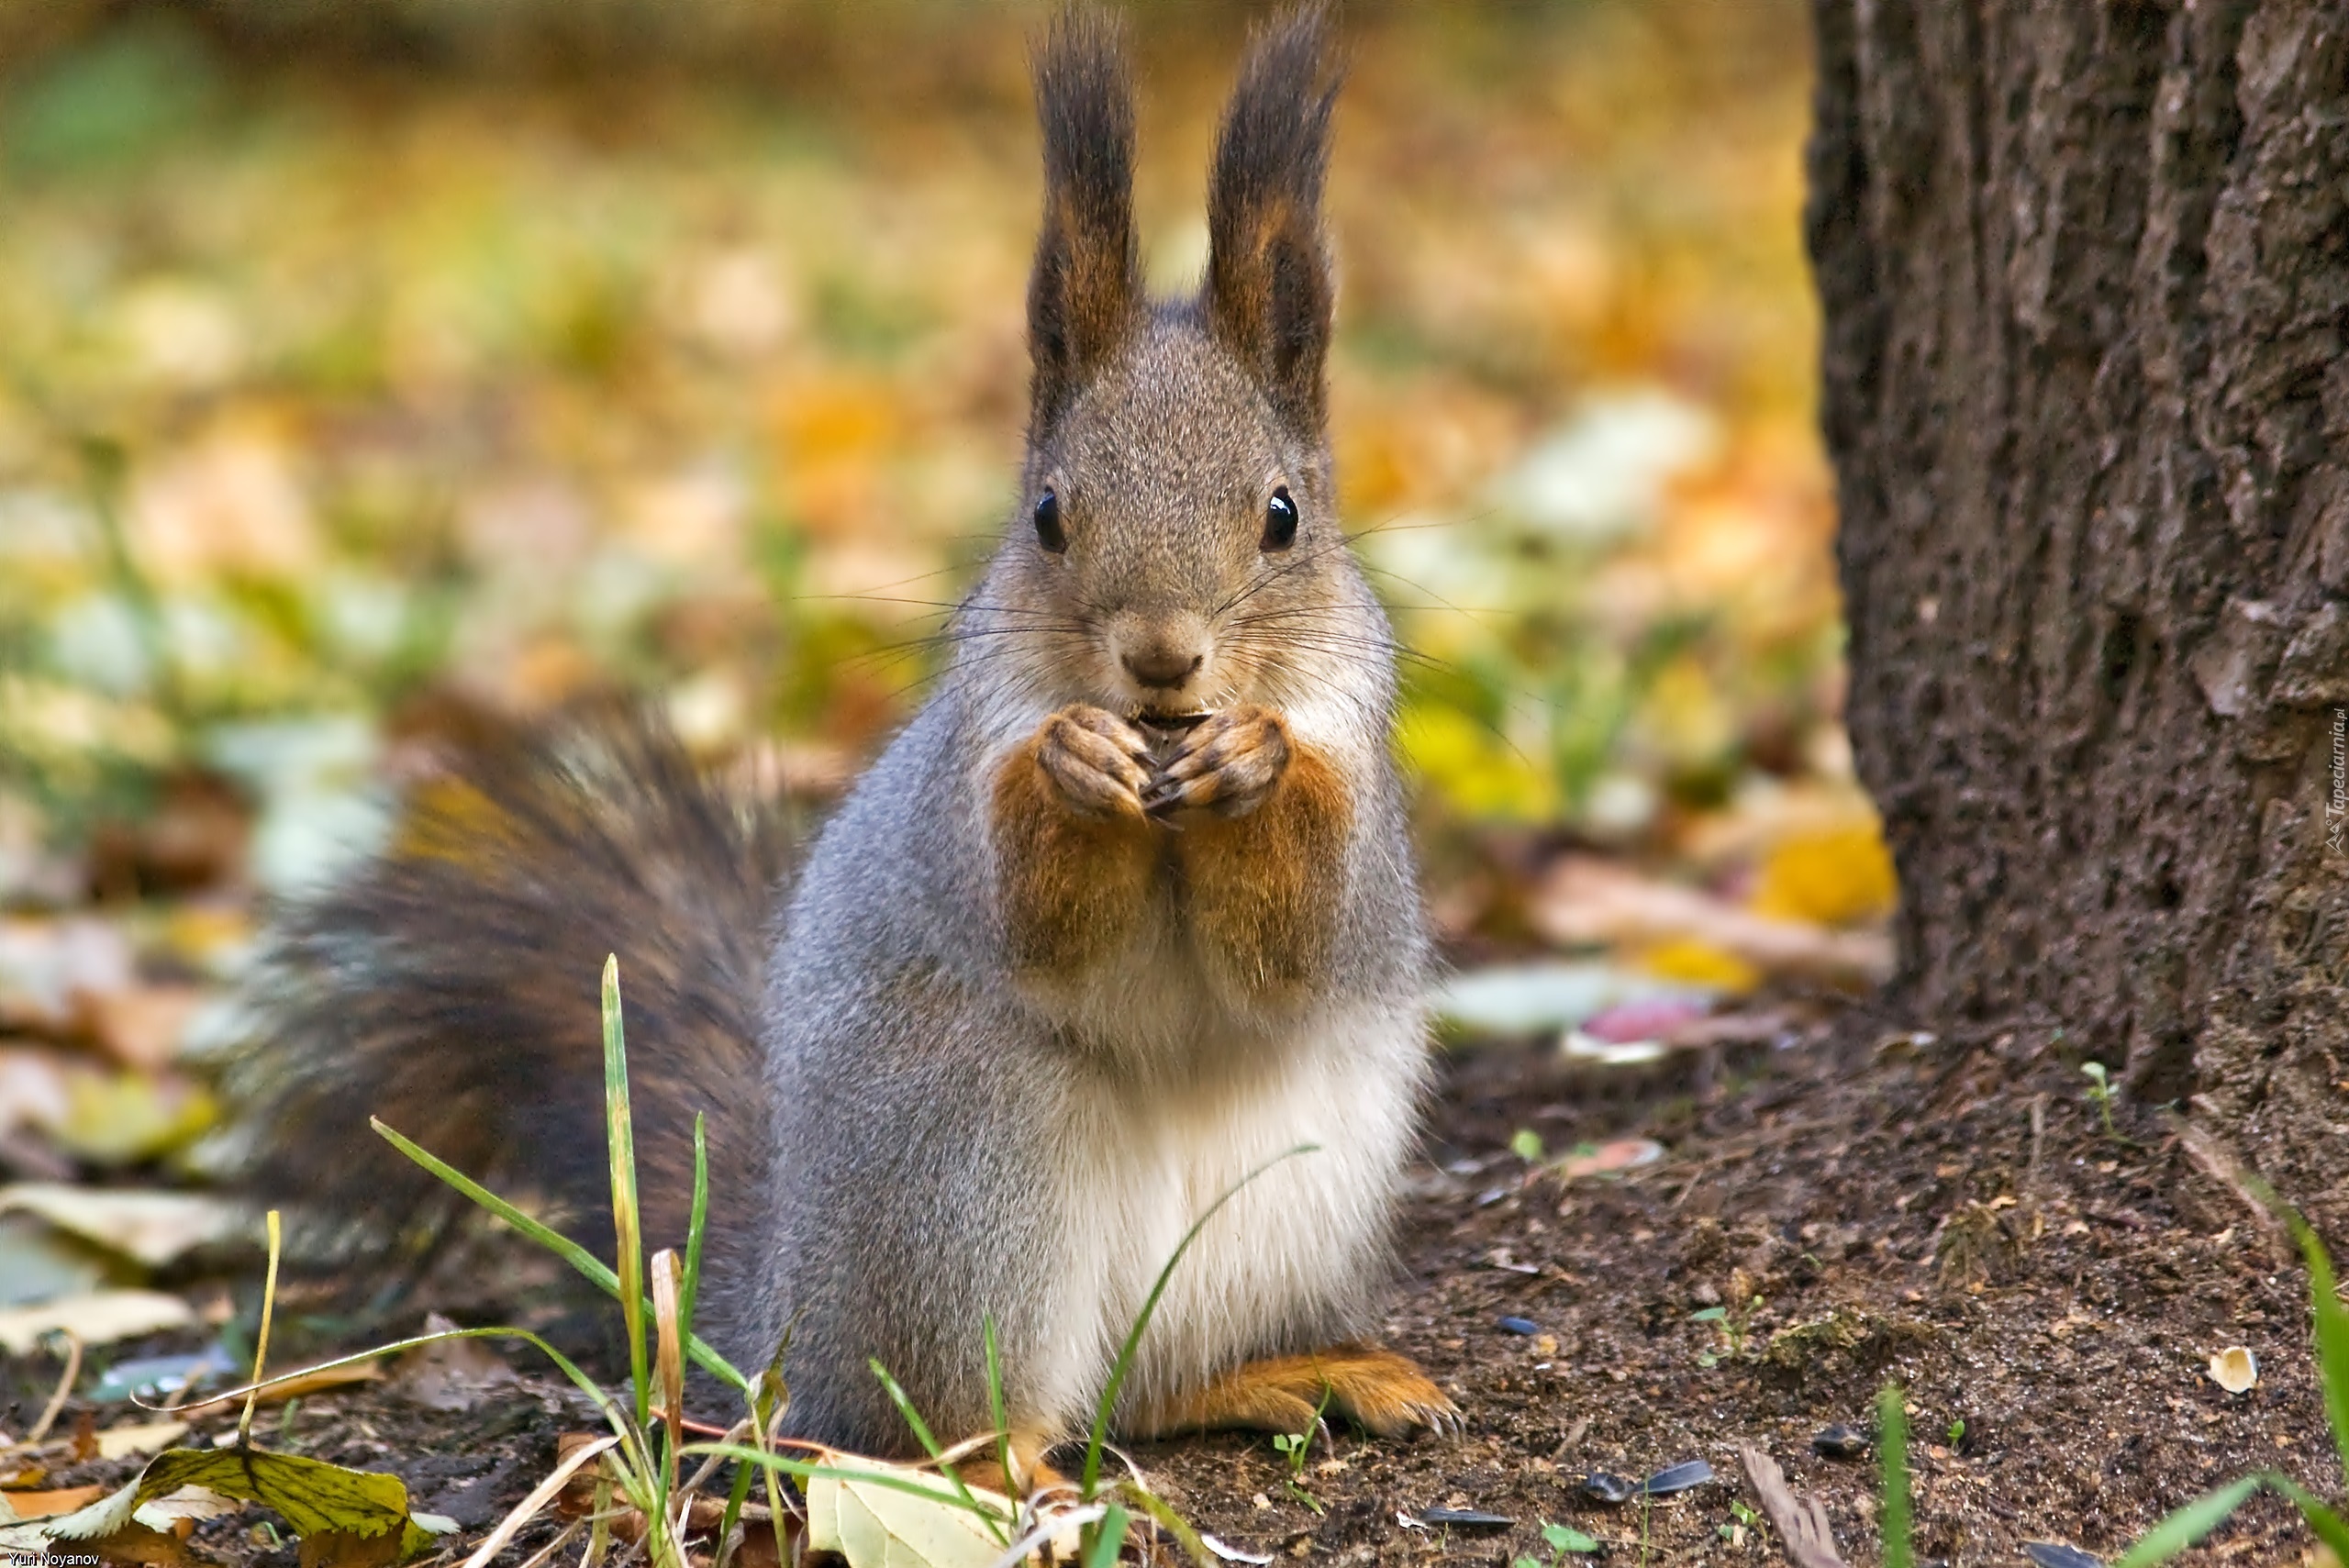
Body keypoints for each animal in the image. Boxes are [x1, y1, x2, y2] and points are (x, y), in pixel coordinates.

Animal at [228, 6, 1456, 1473]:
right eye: (1048, 515)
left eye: (1282, 516)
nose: (1162, 659)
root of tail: (790, 1308)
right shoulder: (963, 795)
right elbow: (1030, 920)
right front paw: (1076, 769)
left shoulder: (1359, 788)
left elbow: (1299, 943)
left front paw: (1256, 764)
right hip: (967, 1170)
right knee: (959, 1413)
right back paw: (1012, 1460)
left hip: (1283, 1209)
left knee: (1148, 1392)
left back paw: (1303, 1372)